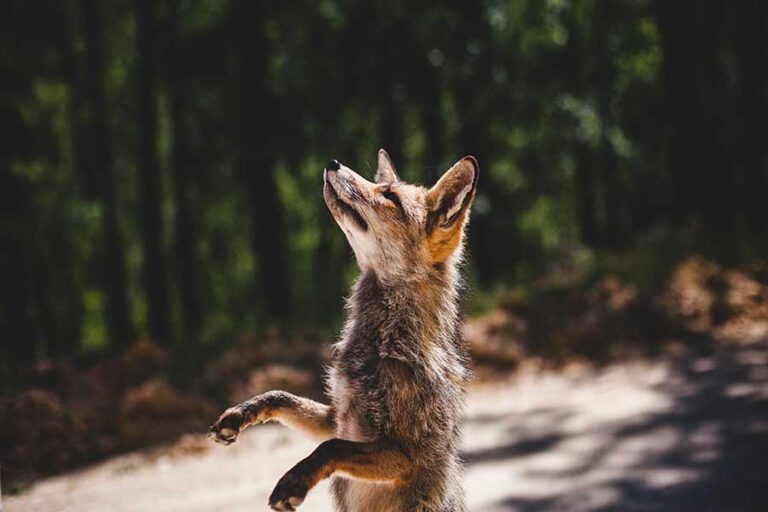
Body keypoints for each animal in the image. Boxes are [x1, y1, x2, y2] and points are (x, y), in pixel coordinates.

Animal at [208, 149, 478, 512]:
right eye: (382, 187)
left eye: (390, 197)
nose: (332, 163)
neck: (385, 345)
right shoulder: (337, 419)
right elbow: (281, 396)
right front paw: (239, 415)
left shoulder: (404, 455)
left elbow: (329, 448)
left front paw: (293, 483)